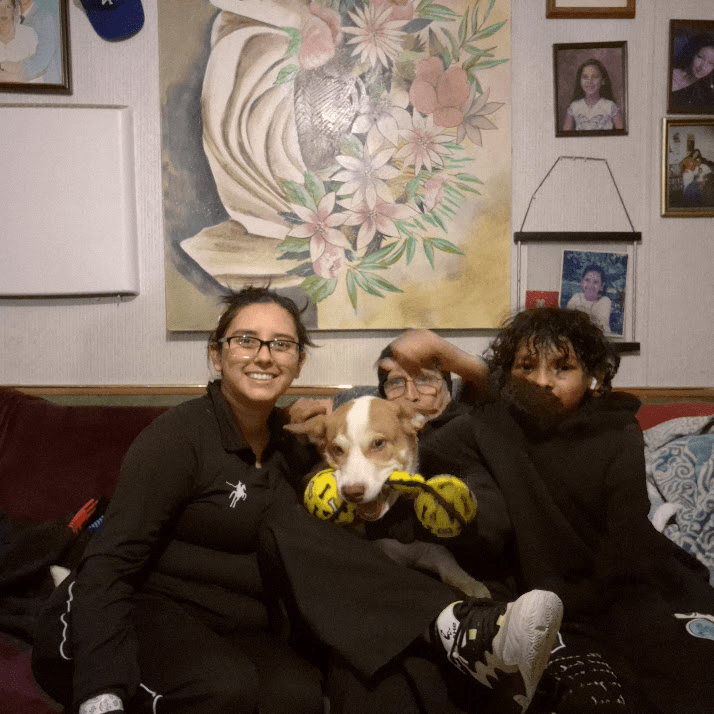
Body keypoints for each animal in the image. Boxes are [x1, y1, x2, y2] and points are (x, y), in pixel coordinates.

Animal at [285, 395, 490, 597]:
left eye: (378, 443)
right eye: (337, 450)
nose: (352, 493)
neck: (393, 518)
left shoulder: (430, 550)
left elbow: (451, 565)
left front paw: (472, 585)